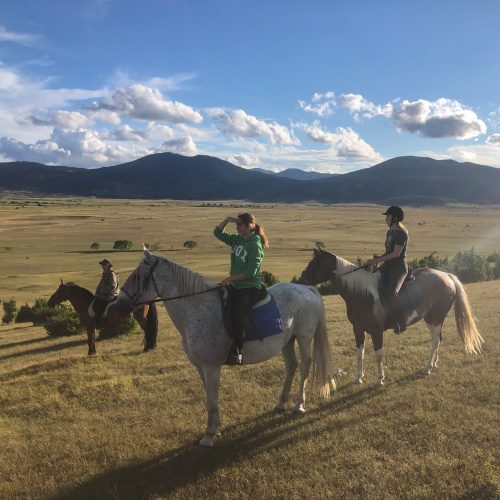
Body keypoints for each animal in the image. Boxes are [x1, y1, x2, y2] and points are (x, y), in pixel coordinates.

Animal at [114, 248, 336, 448]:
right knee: (291, 366)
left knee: (305, 366)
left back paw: (299, 405)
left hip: (304, 337)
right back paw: (280, 403)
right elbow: (209, 399)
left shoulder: (211, 367)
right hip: (287, 341)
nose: (118, 306)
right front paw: (216, 428)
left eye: (137, 276)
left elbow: (212, 400)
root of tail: (307, 289)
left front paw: (209, 435)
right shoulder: (200, 366)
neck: (197, 309)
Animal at [298, 248, 482, 384]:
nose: (301, 280)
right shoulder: (357, 329)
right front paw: (358, 378)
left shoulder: (376, 331)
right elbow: (359, 353)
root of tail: (447, 277)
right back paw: (433, 364)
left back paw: (427, 368)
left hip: (435, 318)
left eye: (315, 263)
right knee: (436, 340)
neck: (361, 294)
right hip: (431, 319)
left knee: (435, 341)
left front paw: (380, 379)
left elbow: (378, 355)